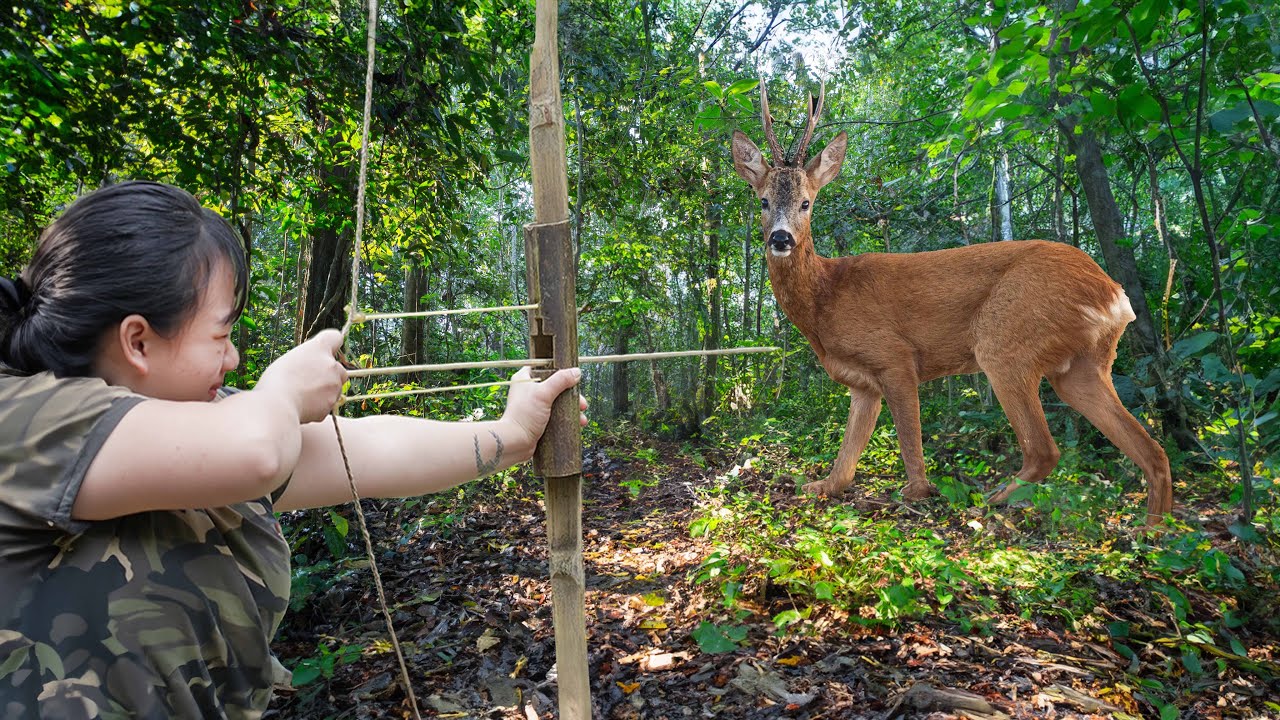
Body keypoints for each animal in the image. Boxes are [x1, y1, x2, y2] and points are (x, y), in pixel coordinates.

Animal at [730, 83, 1173, 526]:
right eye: (764, 201)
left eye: (806, 203)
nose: (781, 239)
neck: (825, 298)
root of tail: (1114, 294)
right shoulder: (862, 384)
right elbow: (845, 461)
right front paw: (818, 485)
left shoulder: (895, 356)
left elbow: (909, 440)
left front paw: (916, 494)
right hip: (1082, 366)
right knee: (1155, 452)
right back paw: (1152, 530)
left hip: (1006, 340)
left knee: (1045, 450)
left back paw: (989, 501)